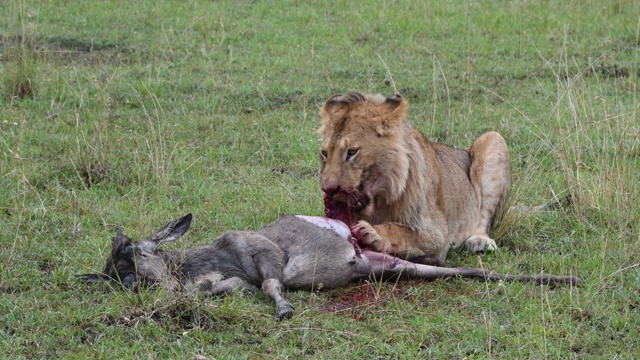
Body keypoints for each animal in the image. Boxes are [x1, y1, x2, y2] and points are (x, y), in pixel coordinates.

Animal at [318, 90, 512, 264]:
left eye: (352, 152)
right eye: (324, 153)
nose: (328, 189)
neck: (377, 202)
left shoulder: (438, 234)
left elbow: (404, 233)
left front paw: (372, 233)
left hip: (493, 138)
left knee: (484, 219)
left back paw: (479, 241)